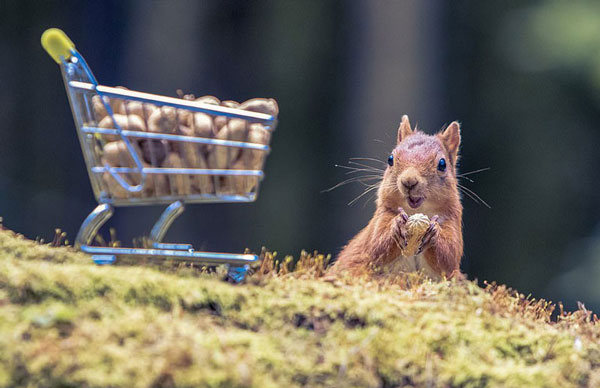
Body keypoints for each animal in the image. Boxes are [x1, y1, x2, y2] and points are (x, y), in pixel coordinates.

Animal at [328, 113, 464, 280]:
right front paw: (397, 225)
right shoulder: (382, 216)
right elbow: (376, 245)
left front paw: (434, 233)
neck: (415, 212)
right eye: (390, 159)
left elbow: (449, 257)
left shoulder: (452, 221)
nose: (409, 181)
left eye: (442, 164)